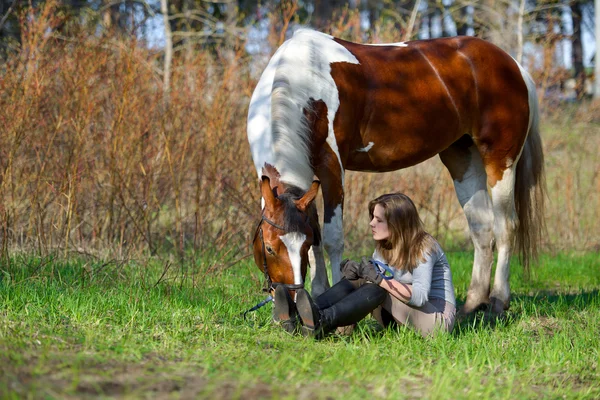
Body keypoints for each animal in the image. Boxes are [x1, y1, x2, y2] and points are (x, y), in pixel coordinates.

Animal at [246, 28, 548, 316]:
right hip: (463, 159)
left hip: (500, 161)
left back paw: (498, 301)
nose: (292, 300)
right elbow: (316, 232)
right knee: (482, 228)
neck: (303, 78)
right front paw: (318, 294)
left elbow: (331, 239)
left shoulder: (332, 168)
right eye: (269, 247)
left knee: (505, 227)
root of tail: (513, 65)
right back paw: (473, 304)